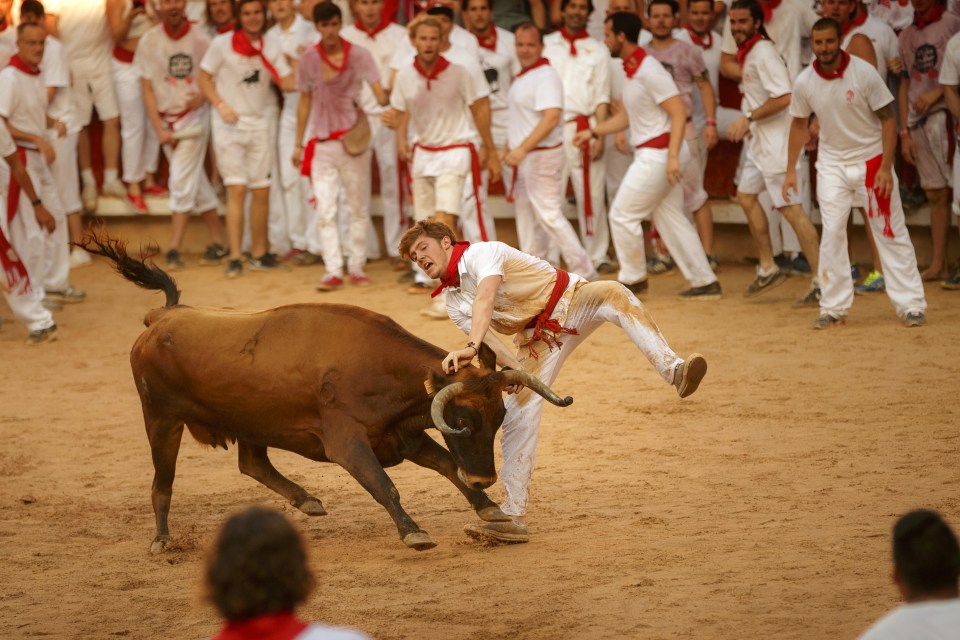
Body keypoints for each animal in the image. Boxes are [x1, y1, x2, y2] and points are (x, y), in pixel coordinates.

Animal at [80, 234, 568, 552]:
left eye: (499, 420)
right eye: (463, 422)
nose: (485, 478)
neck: (379, 369)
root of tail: (162, 317)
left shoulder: (402, 436)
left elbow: (447, 467)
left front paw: (490, 510)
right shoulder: (347, 443)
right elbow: (384, 484)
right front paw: (414, 531)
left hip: (251, 420)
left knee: (251, 463)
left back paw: (307, 501)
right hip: (161, 420)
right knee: (162, 482)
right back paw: (162, 539)